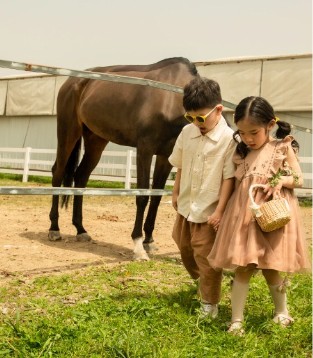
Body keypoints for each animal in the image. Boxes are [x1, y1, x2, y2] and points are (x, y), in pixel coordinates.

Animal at [47, 58, 199, 260]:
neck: (171, 99)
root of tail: (72, 82)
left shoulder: (166, 156)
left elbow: (156, 198)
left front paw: (149, 241)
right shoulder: (144, 150)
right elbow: (143, 196)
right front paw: (138, 245)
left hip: (96, 140)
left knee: (80, 177)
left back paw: (81, 230)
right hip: (68, 132)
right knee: (58, 172)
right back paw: (54, 229)